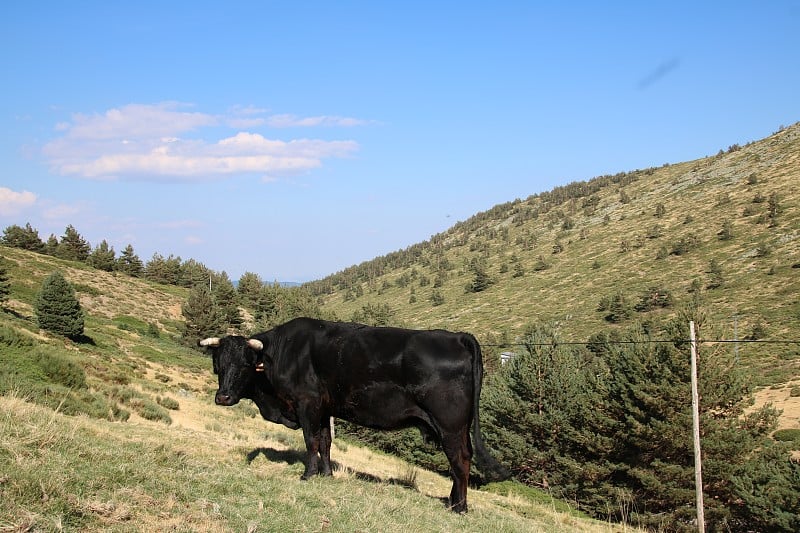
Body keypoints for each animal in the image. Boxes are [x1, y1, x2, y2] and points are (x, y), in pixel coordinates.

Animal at [200, 316, 504, 512]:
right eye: (219, 365)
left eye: (244, 365)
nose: (222, 397)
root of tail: (457, 337)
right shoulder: (324, 409)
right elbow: (325, 441)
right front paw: (326, 474)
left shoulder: (307, 404)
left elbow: (311, 441)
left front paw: (308, 475)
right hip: (457, 428)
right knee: (461, 460)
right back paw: (452, 501)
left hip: (449, 425)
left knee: (460, 460)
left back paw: (459, 507)